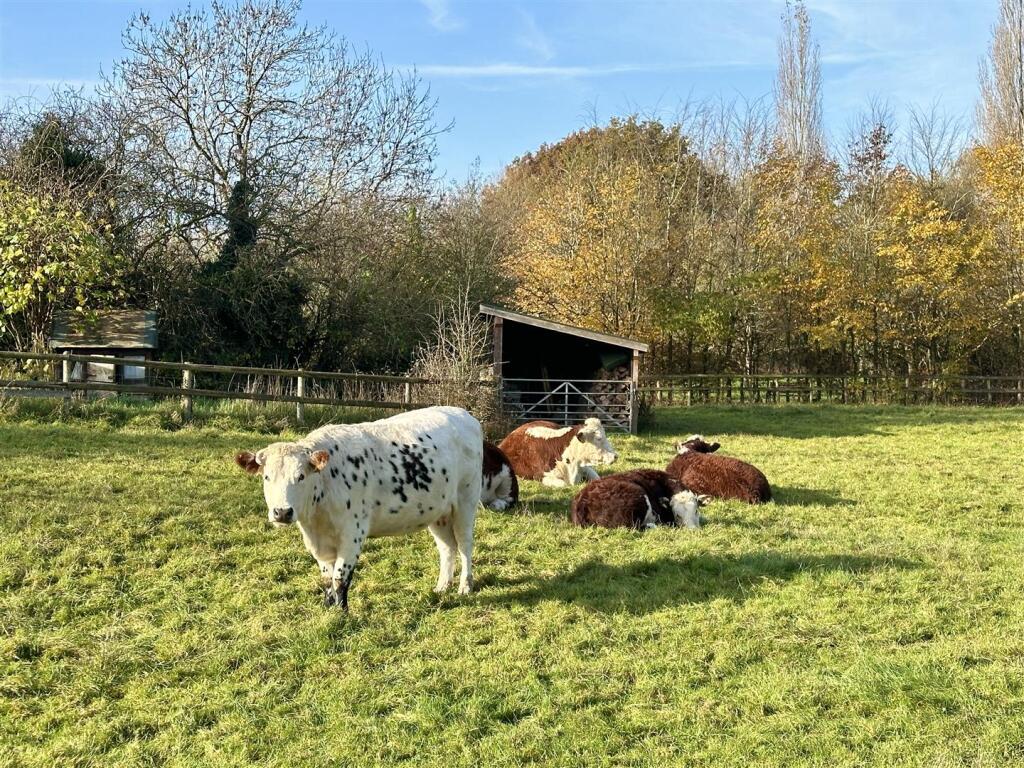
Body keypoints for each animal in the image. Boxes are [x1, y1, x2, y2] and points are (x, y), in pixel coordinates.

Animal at [235, 406, 483, 610]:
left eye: (301, 476)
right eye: (267, 477)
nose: (282, 512)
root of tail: (465, 415)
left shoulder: (352, 533)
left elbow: (340, 577)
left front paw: (342, 613)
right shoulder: (320, 543)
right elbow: (327, 579)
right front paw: (329, 608)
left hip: (466, 502)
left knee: (464, 545)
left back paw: (465, 586)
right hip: (437, 512)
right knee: (447, 547)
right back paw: (442, 586)